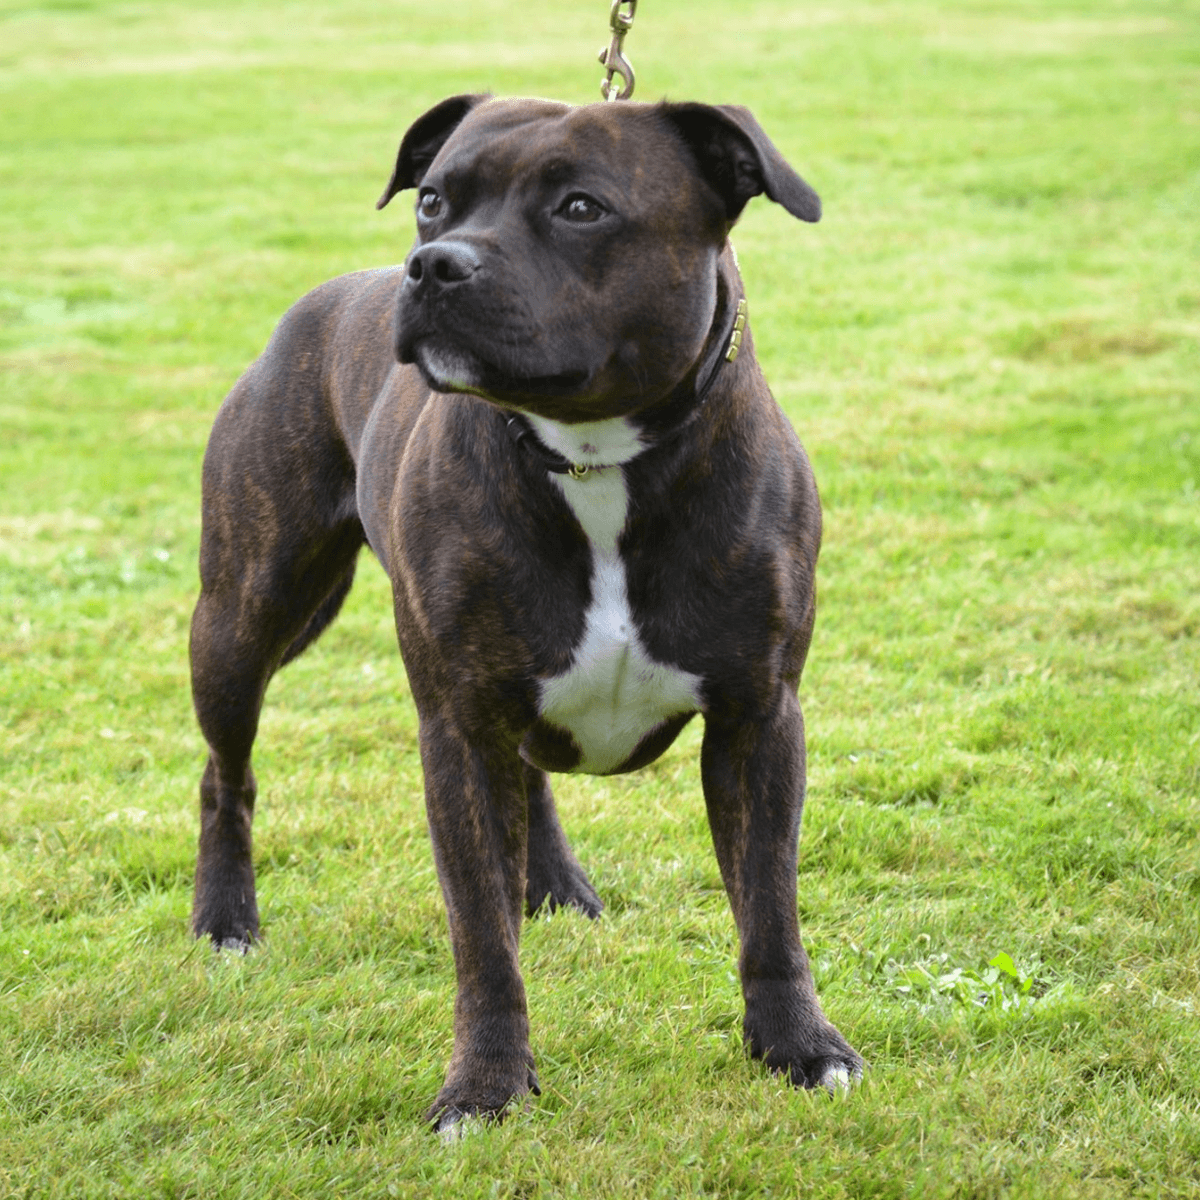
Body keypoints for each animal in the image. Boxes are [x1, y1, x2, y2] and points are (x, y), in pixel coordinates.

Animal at [189, 91, 864, 1123]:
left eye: (581, 208)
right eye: (432, 199)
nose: (435, 261)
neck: (593, 457)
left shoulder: (758, 719)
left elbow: (770, 909)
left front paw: (798, 1046)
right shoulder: (458, 730)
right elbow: (482, 938)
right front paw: (485, 1087)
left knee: (532, 774)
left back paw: (554, 883)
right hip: (242, 615)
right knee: (226, 773)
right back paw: (226, 921)